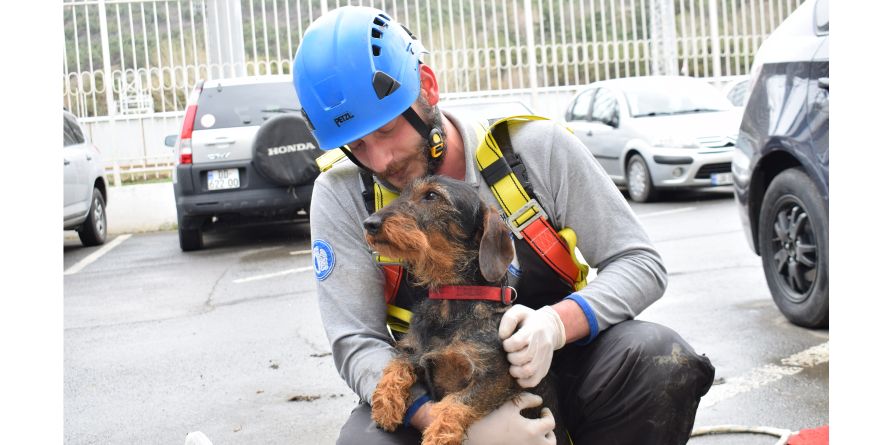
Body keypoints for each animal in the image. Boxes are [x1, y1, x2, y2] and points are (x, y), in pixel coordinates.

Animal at [366, 176, 568, 444]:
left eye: (432, 196)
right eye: (402, 193)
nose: (369, 223)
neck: (451, 299)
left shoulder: (497, 377)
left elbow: (455, 403)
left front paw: (436, 437)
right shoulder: (415, 352)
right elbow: (396, 364)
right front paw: (385, 405)